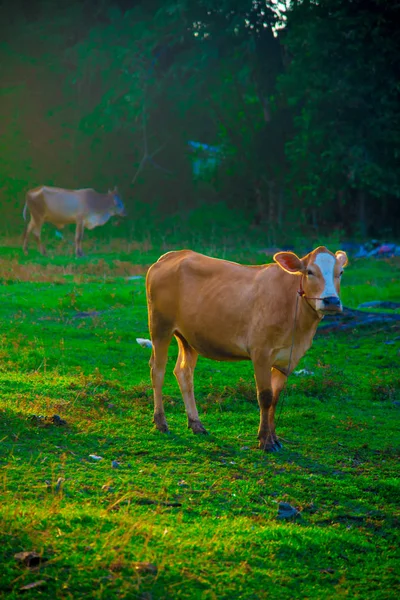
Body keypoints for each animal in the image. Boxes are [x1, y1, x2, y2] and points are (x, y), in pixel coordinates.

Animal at [145, 247, 348, 450]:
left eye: (340, 272)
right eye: (309, 272)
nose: (331, 301)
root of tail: (173, 254)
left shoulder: (288, 359)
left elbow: (275, 398)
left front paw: (274, 438)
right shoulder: (261, 352)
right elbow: (265, 397)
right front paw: (265, 441)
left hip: (189, 336)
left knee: (184, 373)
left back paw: (196, 424)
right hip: (160, 326)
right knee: (158, 370)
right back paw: (161, 422)